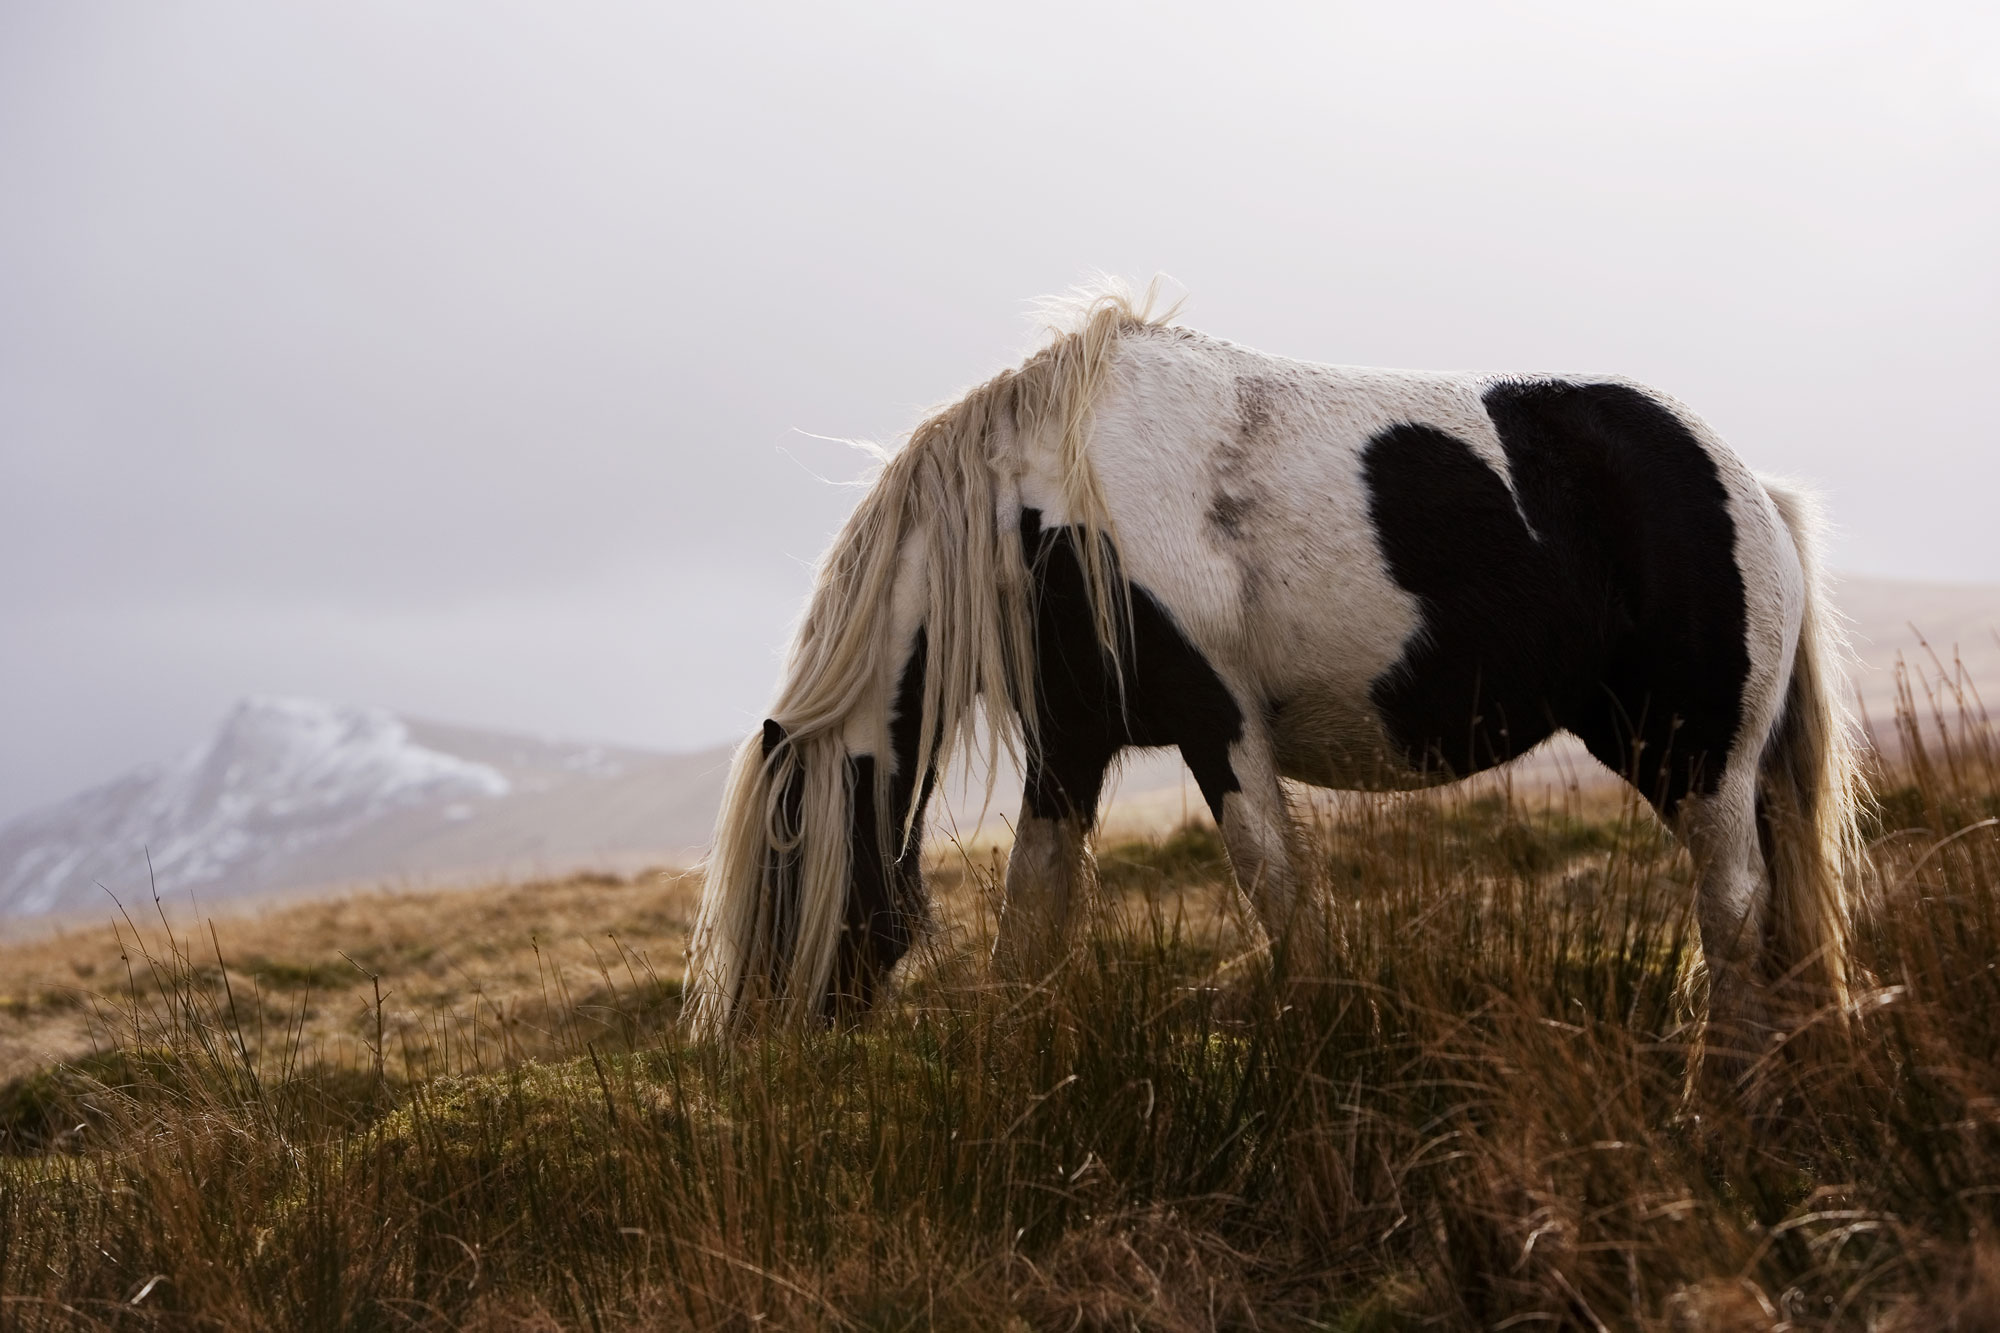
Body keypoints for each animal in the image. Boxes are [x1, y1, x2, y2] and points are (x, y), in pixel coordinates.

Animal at [692, 288, 1872, 1048]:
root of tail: (1753, 490)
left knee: (1732, 908)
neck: (1054, 518)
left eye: (784, 869)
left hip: (1697, 752)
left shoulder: (1219, 725)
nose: (759, 1049)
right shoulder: (1071, 746)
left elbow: (1281, 905)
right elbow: (1032, 924)